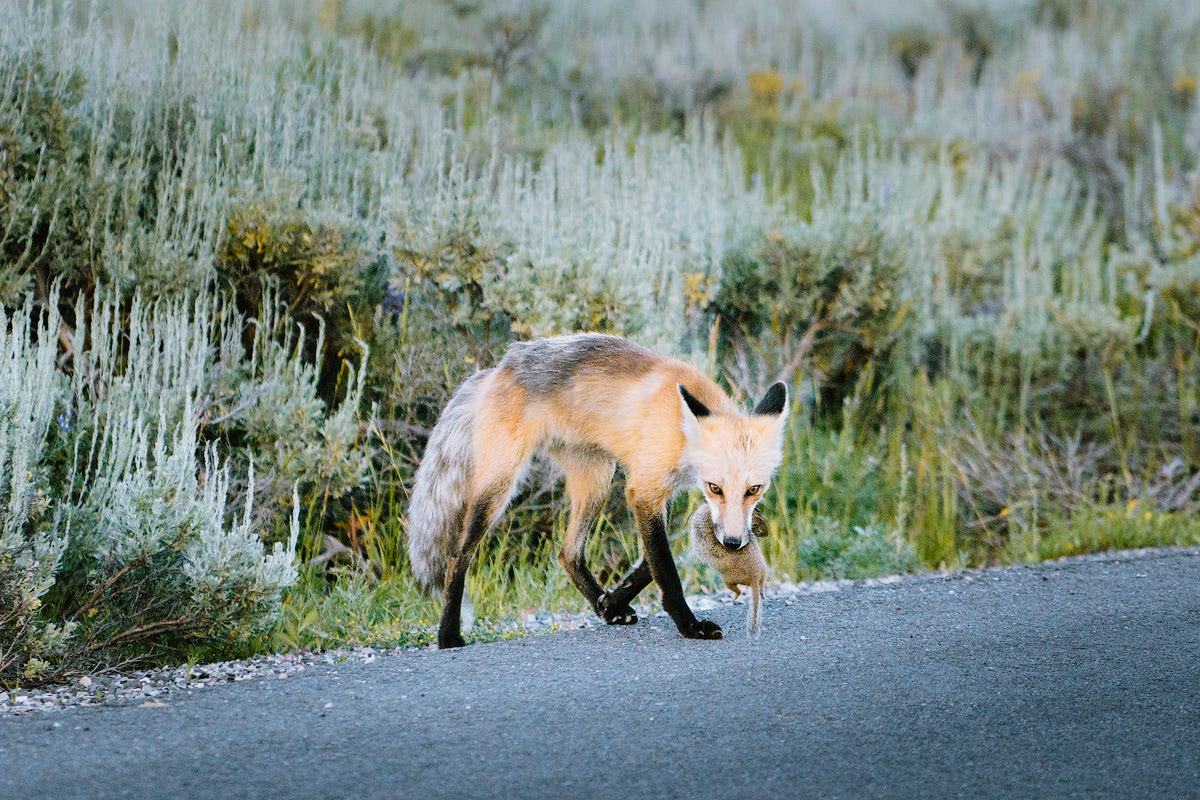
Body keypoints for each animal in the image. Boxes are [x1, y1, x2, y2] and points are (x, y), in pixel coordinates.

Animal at [408, 331, 792, 652]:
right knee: (457, 557)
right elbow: (665, 569)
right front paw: (689, 625)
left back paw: (603, 607)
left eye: (754, 489)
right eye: (715, 487)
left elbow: (648, 564)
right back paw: (448, 636)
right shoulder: (644, 490)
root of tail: (497, 367)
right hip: (500, 484)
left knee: (568, 553)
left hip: (596, 478)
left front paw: (613, 601)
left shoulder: (658, 491)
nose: (733, 543)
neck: (679, 429)